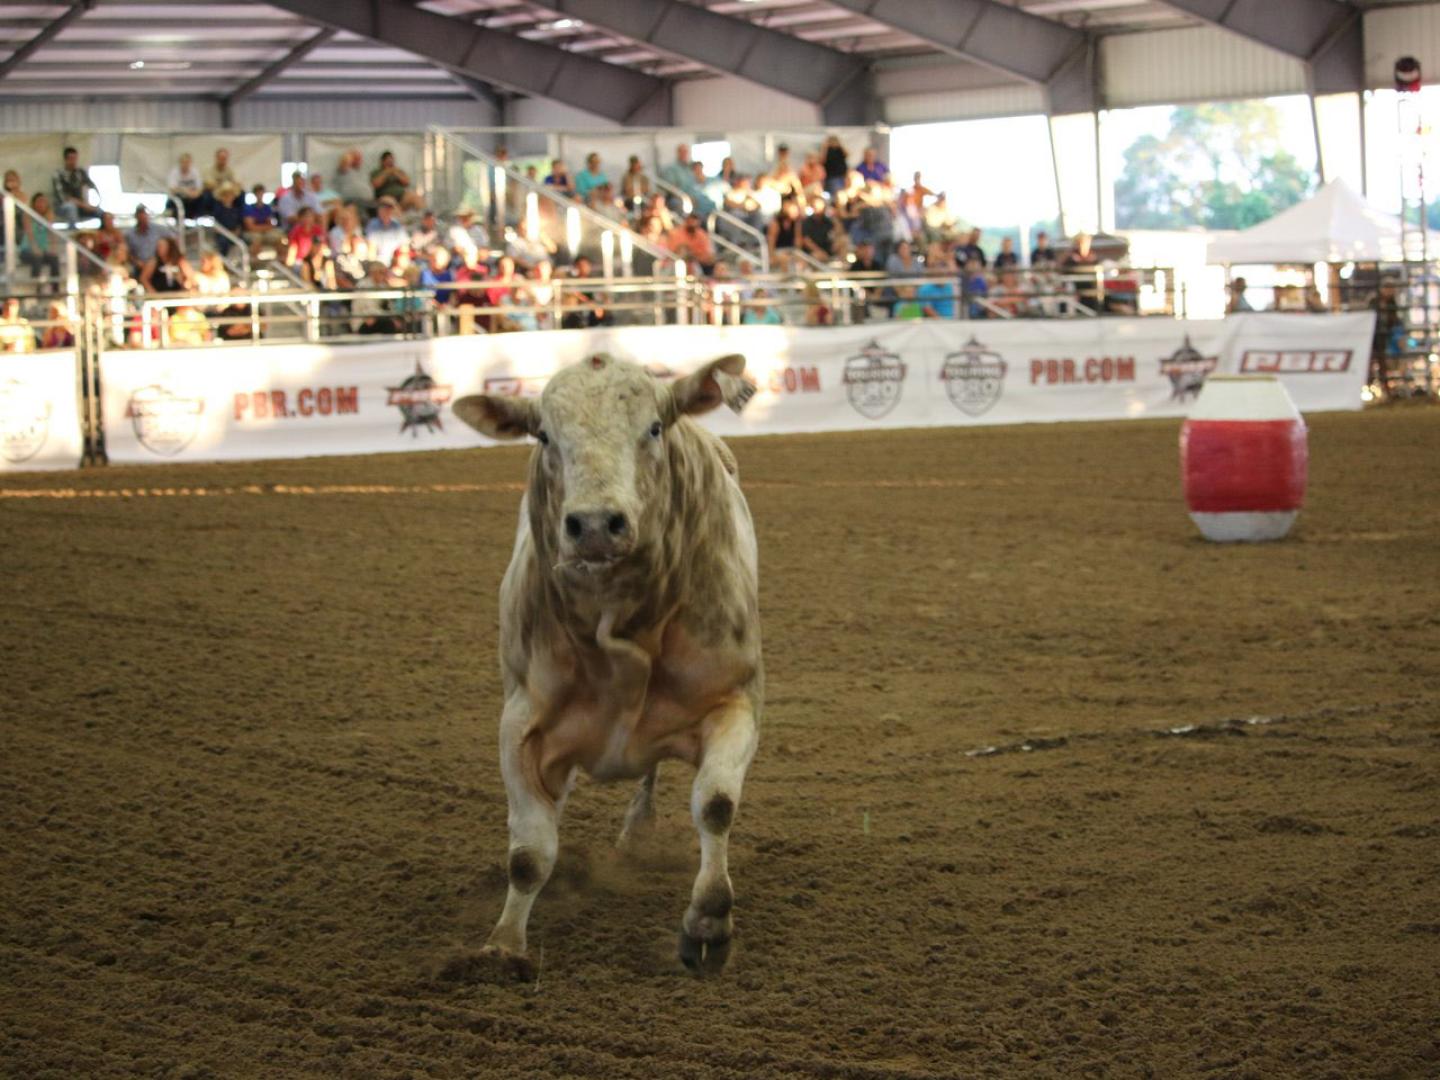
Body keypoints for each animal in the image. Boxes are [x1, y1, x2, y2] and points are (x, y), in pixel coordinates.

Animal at [452, 352, 763, 978]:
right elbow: (529, 851)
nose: (595, 525)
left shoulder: (734, 700)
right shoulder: (519, 725)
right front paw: (503, 947)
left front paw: (708, 925)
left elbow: (715, 804)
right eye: (544, 434)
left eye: (654, 428)